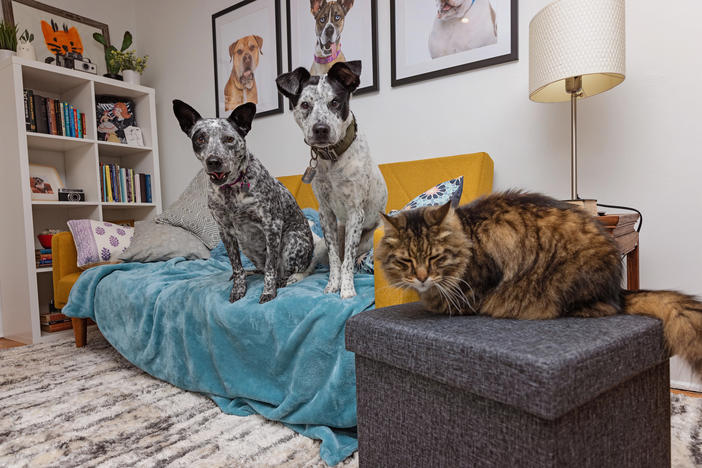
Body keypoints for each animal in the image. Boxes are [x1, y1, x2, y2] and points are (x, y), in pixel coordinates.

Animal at [172, 100, 314, 304]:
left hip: (291, 241)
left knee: (289, 271)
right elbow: (236, 266)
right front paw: (239, 287)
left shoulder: (271, 226)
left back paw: (285, 280)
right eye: (200, 139)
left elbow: (270, 269)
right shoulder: (226, 232)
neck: (231, 190)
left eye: (229, 139)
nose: (213, 161)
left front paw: (268, 292)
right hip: (247, 246)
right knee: (260, 269)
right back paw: (251, 272)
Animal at [276, 60, 388, 298]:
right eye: (305, 105)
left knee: (351, 257)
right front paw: (332, 285)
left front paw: (346, 289)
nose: (321, 129)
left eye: (335, 102)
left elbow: (346, 261)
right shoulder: (325, 214)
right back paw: (297, 276)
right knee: (314, 264)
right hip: (319, 245)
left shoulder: (355, 212)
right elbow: (336, 258)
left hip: (365, 240)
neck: (333, 158)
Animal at [380, 190, 702, 372]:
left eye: (435, 258)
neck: (467, 237)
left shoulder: (473, 290)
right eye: (407, 262)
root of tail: (618, 289)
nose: (422, 278)